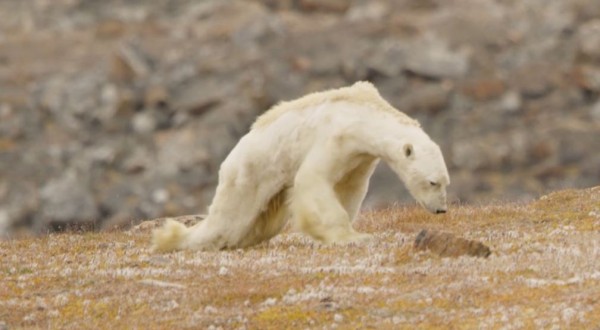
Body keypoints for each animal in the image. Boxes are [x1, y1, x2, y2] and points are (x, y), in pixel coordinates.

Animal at [152, 81, 448, 251]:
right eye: (432, 182)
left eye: (445, 182)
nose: (441, 209)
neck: (364, 113)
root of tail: (229, 159)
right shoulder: (335, 137)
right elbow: (313, 180)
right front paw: (351, 237)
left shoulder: (360, 157)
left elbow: (349, 188)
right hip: (249, 174)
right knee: (228, 221)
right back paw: (172, 239)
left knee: (260, 224)